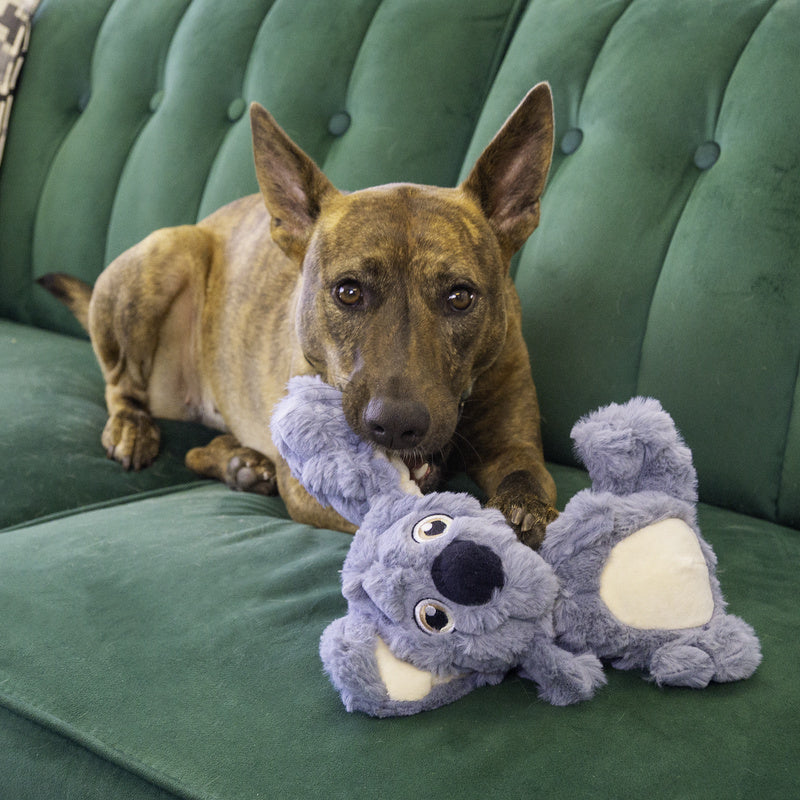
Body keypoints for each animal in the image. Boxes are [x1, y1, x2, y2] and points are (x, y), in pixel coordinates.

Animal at [40, 84, 560, 552]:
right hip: (168, 251)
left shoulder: (516, 445)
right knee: (121, 384)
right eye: (348, 292)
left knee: (195, 450)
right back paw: (134, 428)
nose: (395, 425)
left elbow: (526, 479)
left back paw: (240, 463)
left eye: (460, 297)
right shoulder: (317, 486)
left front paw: (524, 515)